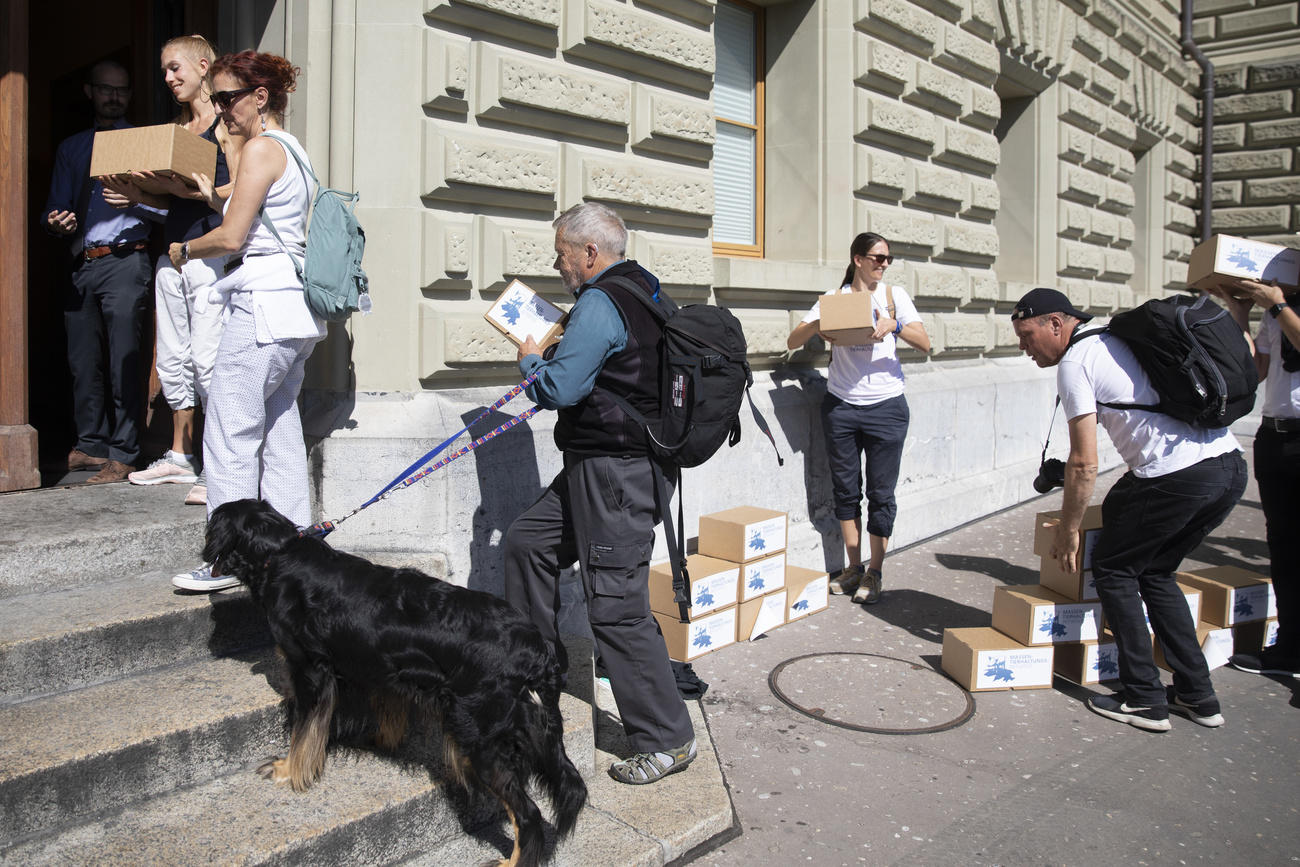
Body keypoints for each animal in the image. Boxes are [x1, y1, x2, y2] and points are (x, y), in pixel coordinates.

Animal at [205, 499, 587, 863]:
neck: (279, 552)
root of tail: (535, 645)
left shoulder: (309, 670)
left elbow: (304, 731)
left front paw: (289, 770)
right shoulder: (378, 667)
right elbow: (383, 707)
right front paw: (377, 739)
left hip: (478, 735)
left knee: (528, 814)